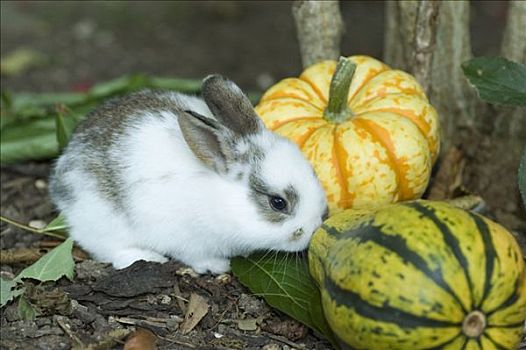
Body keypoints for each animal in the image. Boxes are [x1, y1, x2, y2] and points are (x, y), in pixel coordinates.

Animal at [50, 74, 330, 274]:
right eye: (278, 203)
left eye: (313, 173)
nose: (314, 227)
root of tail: (59, 180)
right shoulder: (187, 239)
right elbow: (195, 255)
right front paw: (217, 266)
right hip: (106, 223)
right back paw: (148, 257)